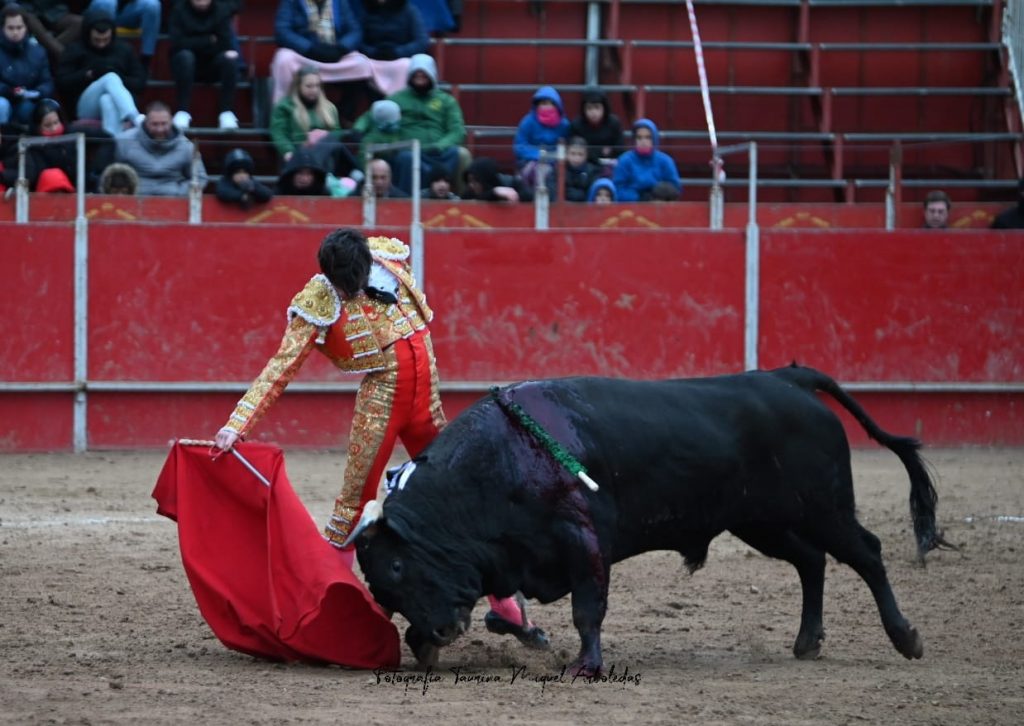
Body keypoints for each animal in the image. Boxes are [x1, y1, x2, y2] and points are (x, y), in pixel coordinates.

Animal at [352, 368, 950, 675]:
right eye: (383, 591)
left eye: (399, 566)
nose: (440, 632)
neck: (497, 463)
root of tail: (788, 378)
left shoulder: (583, 538)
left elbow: (588, 608)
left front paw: (586, 666)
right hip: (764, 521)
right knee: (812, 561)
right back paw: (807, 642)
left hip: (824, 507)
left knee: (866, 553)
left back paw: (906, 638)